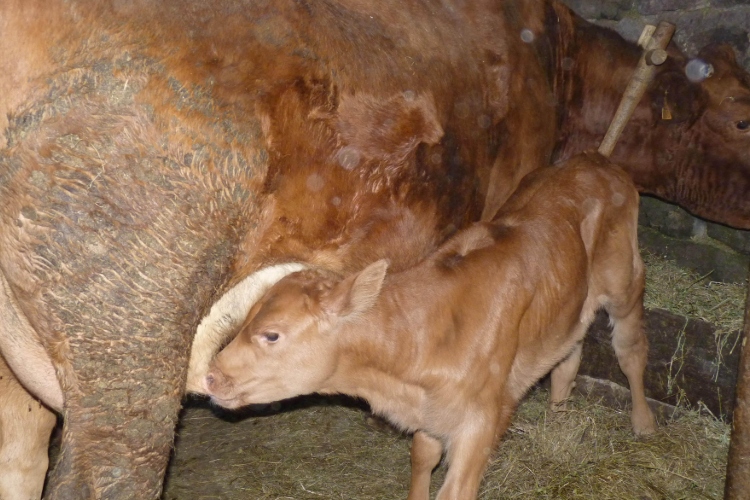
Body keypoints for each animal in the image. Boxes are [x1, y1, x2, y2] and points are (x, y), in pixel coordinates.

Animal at [204, 152, 657, 500]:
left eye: (272, 334)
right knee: (568, 356)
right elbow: (422, 457)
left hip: (625, 280)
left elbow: (456, 490)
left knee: (631, 349)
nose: (211, 376)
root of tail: (595, 159)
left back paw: (643, 423)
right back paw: (559, 419)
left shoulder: (480, 421)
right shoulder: (431, 415)